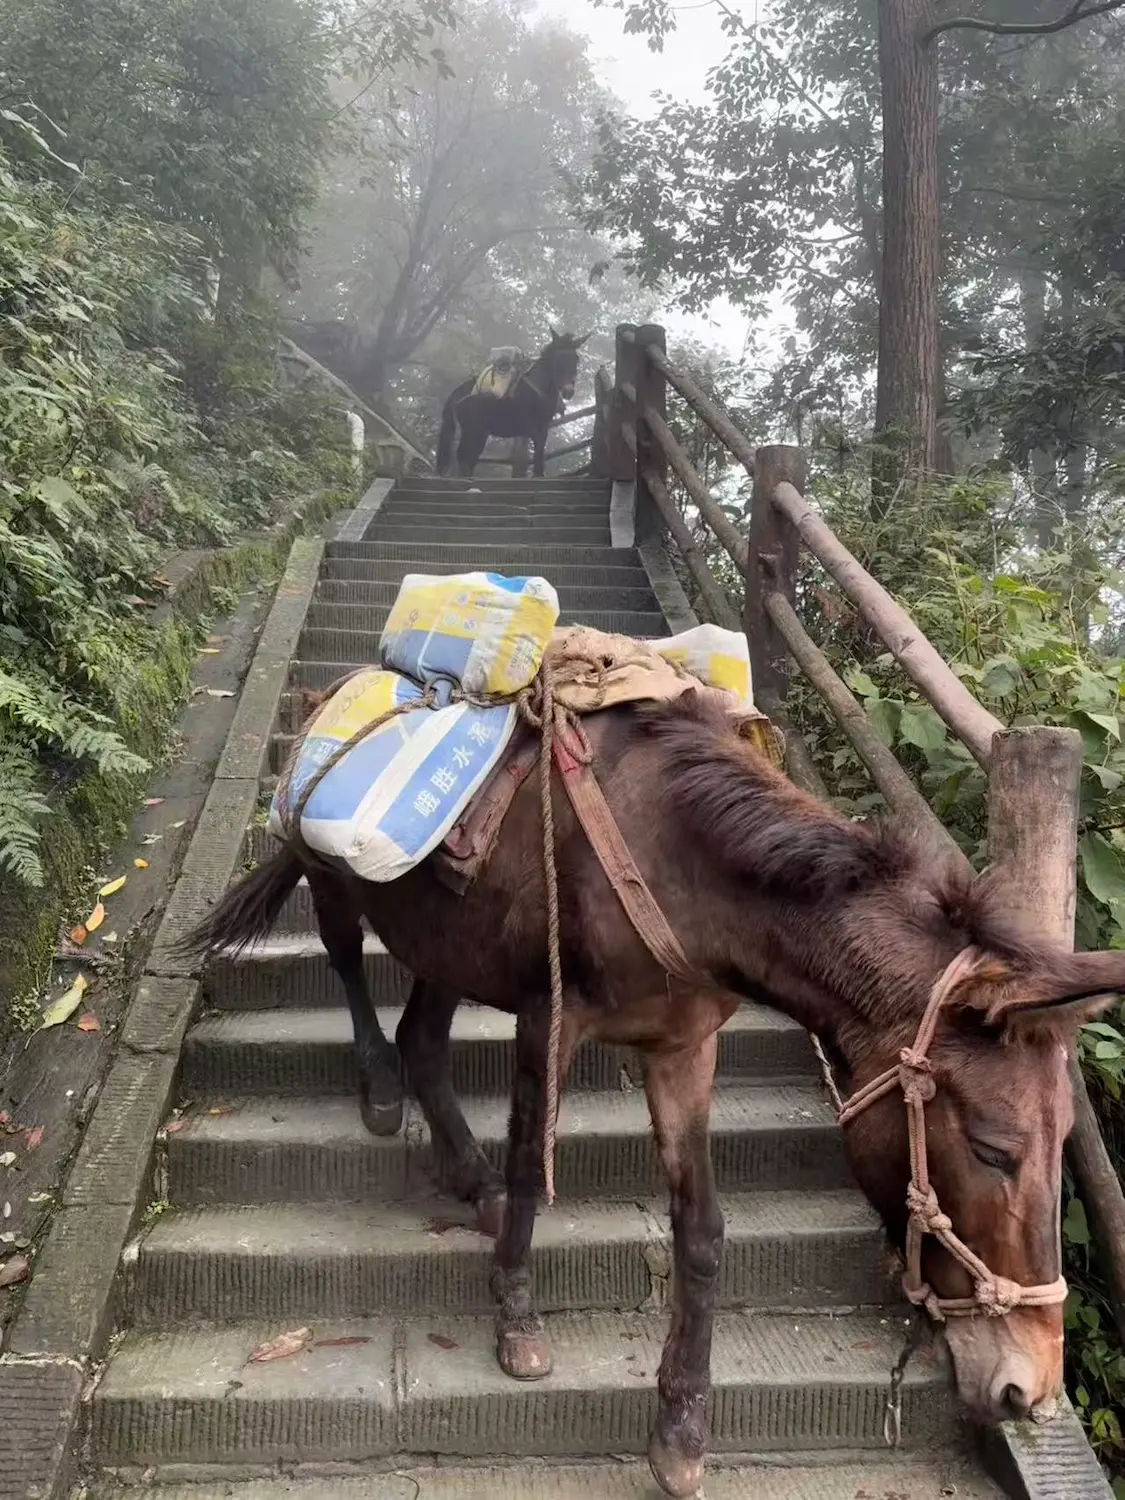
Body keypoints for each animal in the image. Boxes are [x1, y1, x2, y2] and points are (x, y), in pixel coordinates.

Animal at [183, 689, 1125, 1500]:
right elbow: (531, 1173)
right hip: (330, 879)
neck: (685, 872)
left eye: (1061, 1149)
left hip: (448, 941)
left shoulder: (683, 1048)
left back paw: (466, 1178)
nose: (1027, 1387)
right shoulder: (548, 1019)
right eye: (995, 1149)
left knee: (424, 1039)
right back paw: (380, 1092)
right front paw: (517, 1324)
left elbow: (701, 1231)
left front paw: (680, 1432)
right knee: (350, 967)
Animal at [435, 330, 590, 478]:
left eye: (576, 360)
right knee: (465, 457)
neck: (537, 388)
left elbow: (540, 453)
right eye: (557, 358)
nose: (568, 391)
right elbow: (538, 452)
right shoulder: (533, 427)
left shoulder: (543, 426)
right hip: (474, 430)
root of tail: (457, 394)